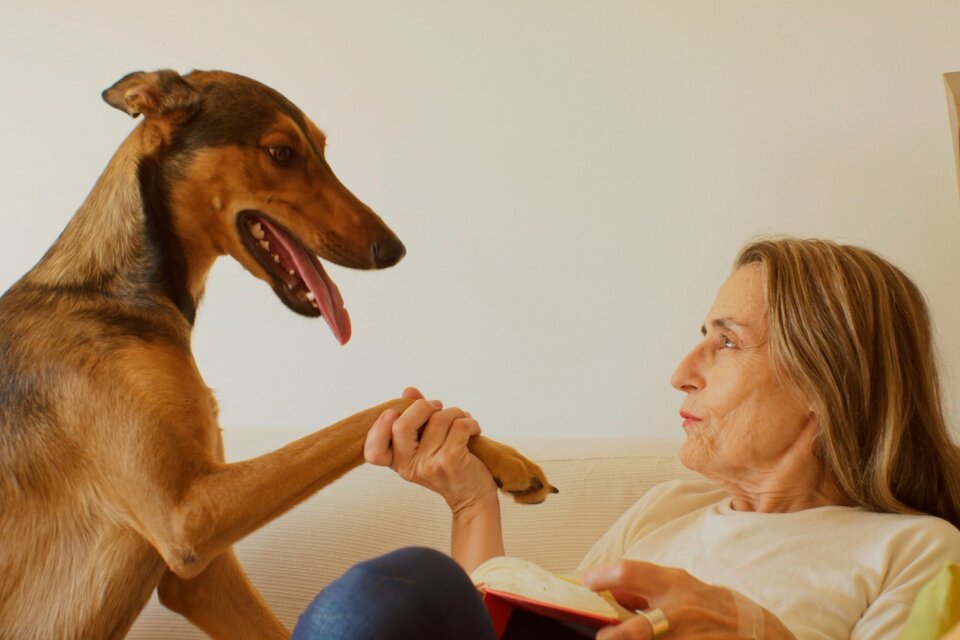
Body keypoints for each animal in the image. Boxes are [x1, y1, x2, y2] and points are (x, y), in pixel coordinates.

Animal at [0, 70, 556, 640]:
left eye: (323, 149)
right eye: (281, 152)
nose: (393, 250)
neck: (116, 292)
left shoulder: (200, 576)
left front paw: (502, 460)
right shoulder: (188, 515)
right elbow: (382, 409)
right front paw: (501, 455)